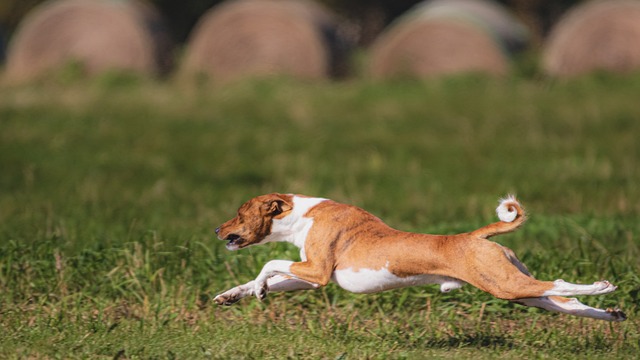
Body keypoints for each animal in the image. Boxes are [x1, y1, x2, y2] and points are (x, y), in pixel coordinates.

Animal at [215, 193, 624, 322]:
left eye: (239, 212)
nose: (217, 230)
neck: (304, 215)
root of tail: (474, 236)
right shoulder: (312, 278)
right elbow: (261, 279)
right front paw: (233, 295)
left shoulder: (316, 271)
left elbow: (268, 265)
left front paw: (260, 288)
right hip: (521, 291)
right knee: (566, 302)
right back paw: (611, 313)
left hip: (506, 286)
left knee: (561, 284)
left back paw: (604, 287)